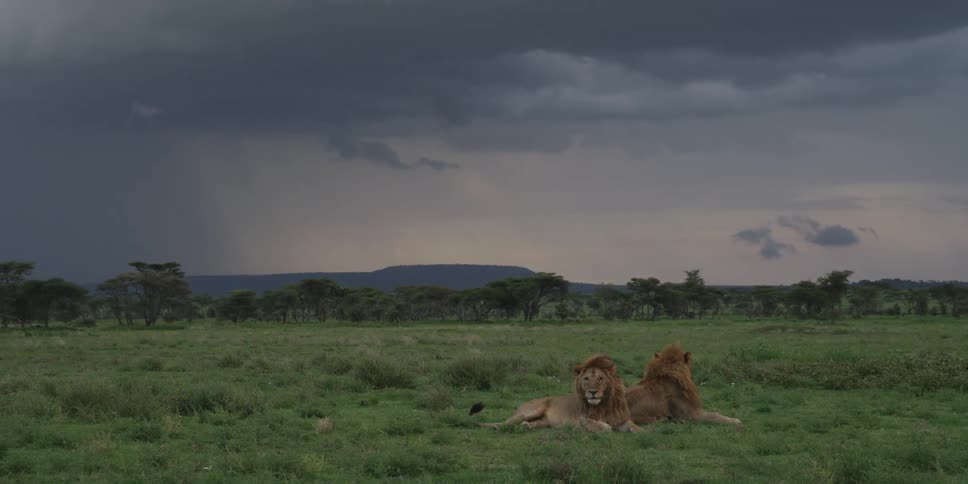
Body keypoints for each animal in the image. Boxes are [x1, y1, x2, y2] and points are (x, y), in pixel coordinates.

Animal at [477, 354, 642, 432]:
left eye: (600, 379)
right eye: (586, 379)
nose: (592, 392)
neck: (602, 405)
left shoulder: (619, 419)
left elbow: (633, 425)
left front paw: (643, 431)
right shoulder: (579, 419)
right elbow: (599, 425)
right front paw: (603, 427)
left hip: (543, 422)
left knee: (531, 424)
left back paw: (526, 427)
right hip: (529, 412)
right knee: (503, 423)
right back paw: (498, 427)